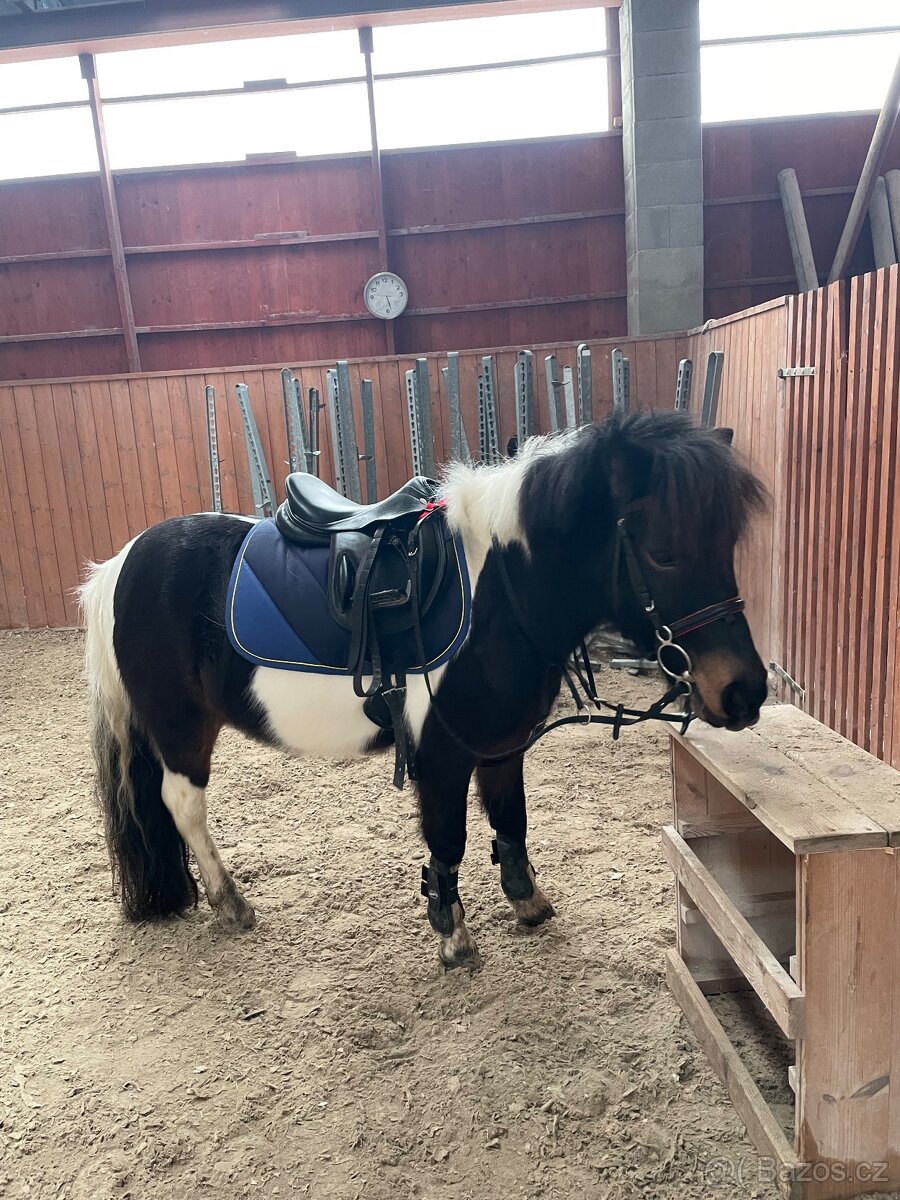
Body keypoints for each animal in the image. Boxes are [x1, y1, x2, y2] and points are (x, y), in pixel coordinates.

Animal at [80, 409, 768, 969]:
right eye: (664, 553)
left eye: (727, 544)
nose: (745, 693)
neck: (500, 596)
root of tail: (123, 561)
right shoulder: (441, 755)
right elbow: (448, 841)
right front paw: (453, 935)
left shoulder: (500, 745)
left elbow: (511, 820)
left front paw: (528, 902)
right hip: (180, 727)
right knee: (182, 804)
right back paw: (231, 903)